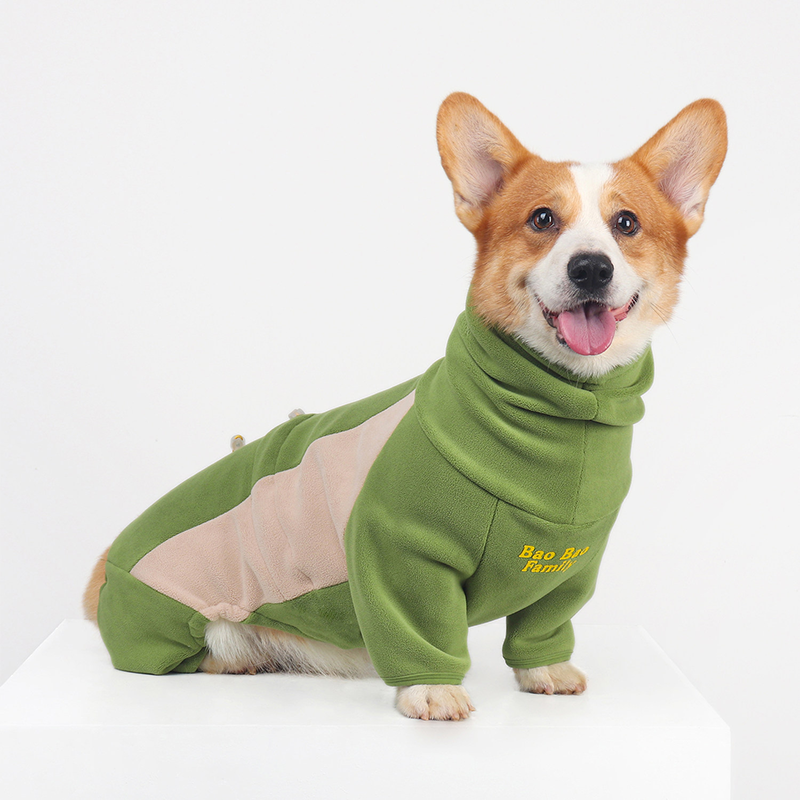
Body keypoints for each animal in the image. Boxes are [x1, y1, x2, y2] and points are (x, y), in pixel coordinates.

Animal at [84, 93, 726, 721]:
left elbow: (543, 628)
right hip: (192, 624)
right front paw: (431, 690)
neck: (563, 411)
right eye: (543, 219)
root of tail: (105, 565)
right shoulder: (400, 547)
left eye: (627, 223)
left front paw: (546, 671)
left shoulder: (568, 569)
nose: (591, 267)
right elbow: (418, 627)